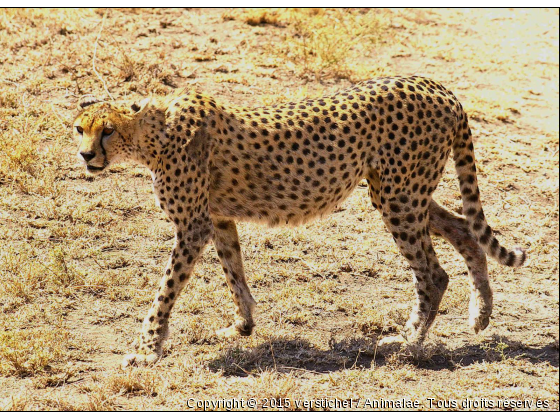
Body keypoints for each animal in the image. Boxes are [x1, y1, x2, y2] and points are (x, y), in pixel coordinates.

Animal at [73, 76, 524, 368]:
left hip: (400, 198)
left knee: (433, 273)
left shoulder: (193, 226)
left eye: (107, 131)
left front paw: (147, 348)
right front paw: (242, 326)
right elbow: (234, 273)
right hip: (400, 193)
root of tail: (435, 86)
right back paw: (480, 314)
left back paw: (408, 343)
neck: (153, 135)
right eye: (79, 129)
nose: (85, 155)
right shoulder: (218, 219)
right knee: (464, 228)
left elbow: (165, 290)